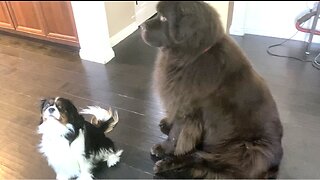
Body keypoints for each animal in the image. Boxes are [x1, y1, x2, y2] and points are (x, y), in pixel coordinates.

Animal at [140, 1, 282, 179]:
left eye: (164, 18)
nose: (140, 26)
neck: (191, 57)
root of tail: (274, 166)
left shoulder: (188, 110)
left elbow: (175, 135)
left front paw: (163, 148)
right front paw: (168, 123)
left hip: (247, 151)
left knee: (198, 158)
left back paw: (167, 164)